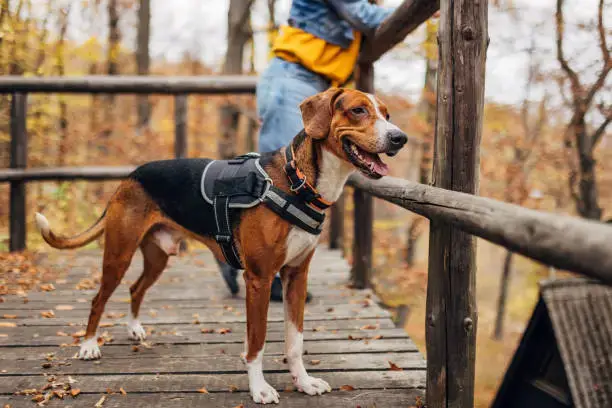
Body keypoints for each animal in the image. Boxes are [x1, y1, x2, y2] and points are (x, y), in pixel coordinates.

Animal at [33, 87, 406, 404]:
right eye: (358, 110)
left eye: (387, 114)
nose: (399, 138)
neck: (298, 181)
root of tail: (130, 175)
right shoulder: (259, 279)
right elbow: (256, 342)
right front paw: (259, 389)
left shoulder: (296, 276)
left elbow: (295, 341)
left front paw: (303, 382)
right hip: (118, 253)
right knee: (99, 298)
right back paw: (89, 346)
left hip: (158, 257)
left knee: (136, 289)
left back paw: (134, 328)